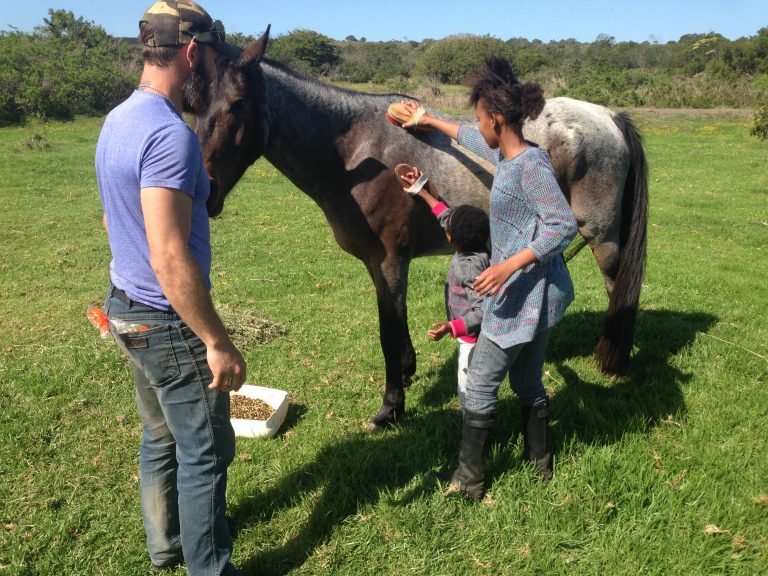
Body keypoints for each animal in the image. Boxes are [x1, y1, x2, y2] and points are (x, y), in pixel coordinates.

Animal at [192, 29, 648, 429]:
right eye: (192, 105)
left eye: (237, 104)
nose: (205, 191)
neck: (355, 154)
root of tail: (608, 115)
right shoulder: (379, 266)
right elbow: (396, 329)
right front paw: (407, 375)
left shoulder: (391, 261)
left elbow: (388, 333)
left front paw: (391, 407)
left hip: (601, 237)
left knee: (617, 291)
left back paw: (613, 359)